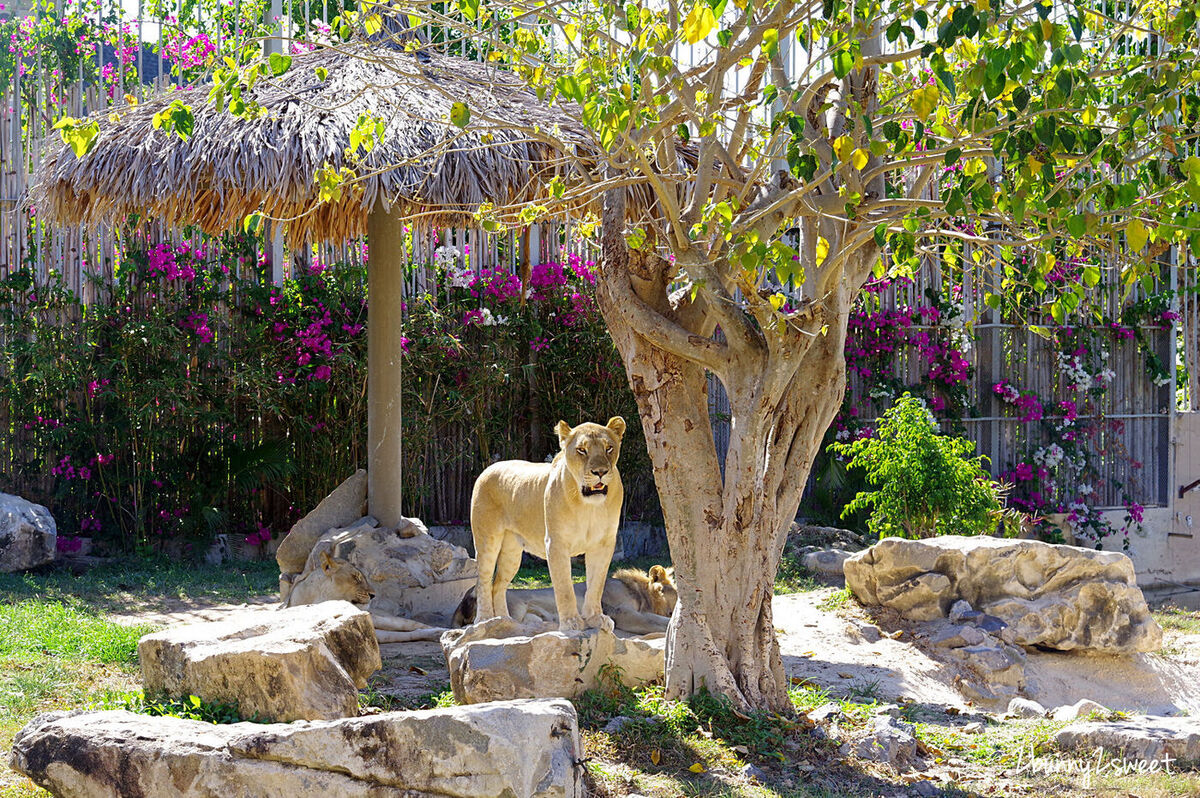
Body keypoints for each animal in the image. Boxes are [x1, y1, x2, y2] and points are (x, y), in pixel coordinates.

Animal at [468, 417, 624, 628]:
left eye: (609, 448)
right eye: (581, 450)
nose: (600, 471)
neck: (589, 505)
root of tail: (488, 468)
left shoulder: (603, 544)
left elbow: (596, 584)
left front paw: (595, 618)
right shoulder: (556, 543)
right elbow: (564, 587)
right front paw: (571, 622)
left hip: (511, 553)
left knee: (497, 585)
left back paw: (505, 621)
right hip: (487, 541)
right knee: (483, 581)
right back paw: (485, 619)